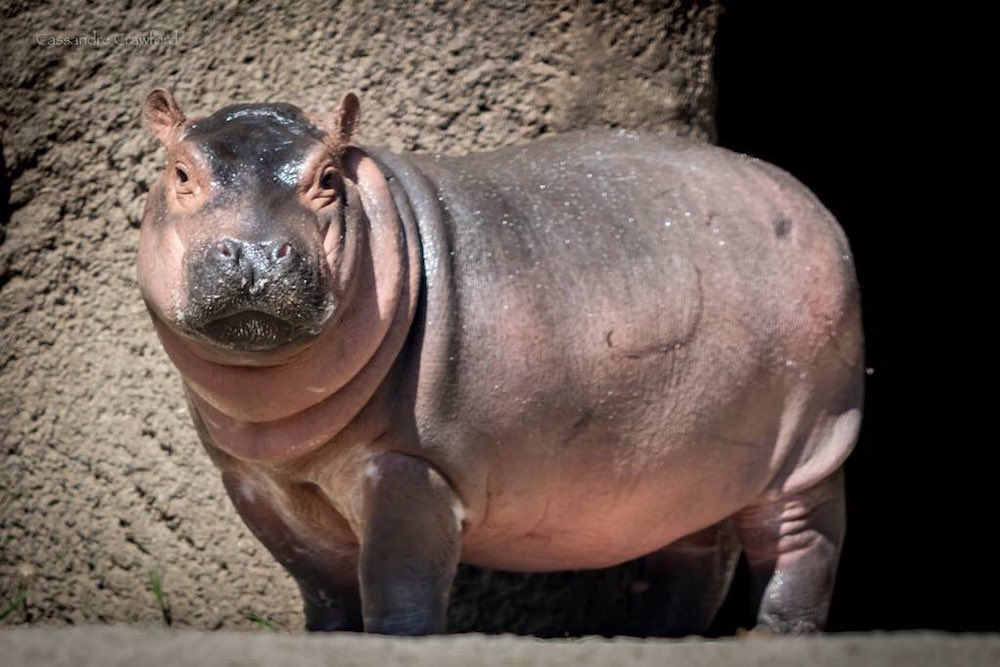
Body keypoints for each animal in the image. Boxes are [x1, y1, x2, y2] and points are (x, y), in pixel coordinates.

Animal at [137, 88, 864, 636]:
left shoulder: (410, 467)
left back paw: (774, 634)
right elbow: (322, 589)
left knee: (802, 545)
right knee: (695, 555)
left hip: (813, 444)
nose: (257, 252)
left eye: (328, 177)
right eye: (180, 173)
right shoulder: (256, 485)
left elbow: (399, 582)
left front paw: (396, 640)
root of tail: (810, 201)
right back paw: (649, 637)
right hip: (694, 462)